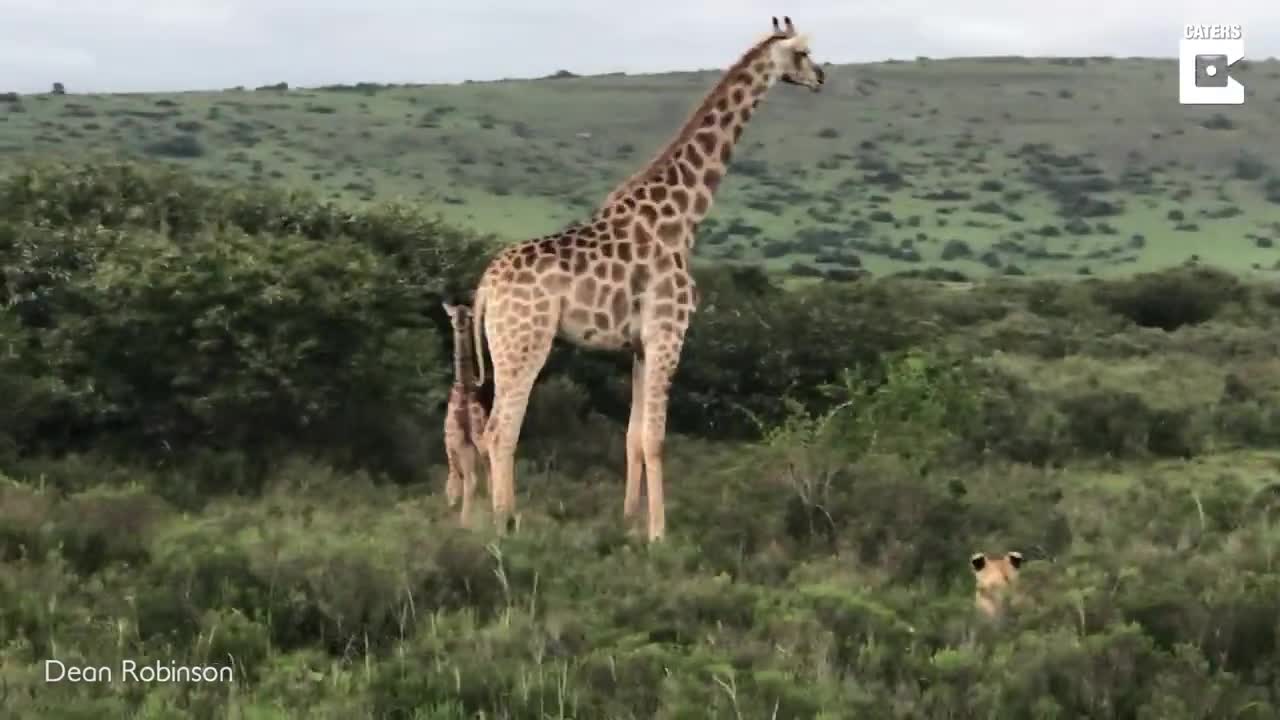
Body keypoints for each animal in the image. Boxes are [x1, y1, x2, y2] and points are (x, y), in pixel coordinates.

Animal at [476, 15, 824, 538]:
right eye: (802, 52)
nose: (821, 77)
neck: (683, 218)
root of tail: (484, 288)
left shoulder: (640, 344)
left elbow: (633, 437)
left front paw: (628, 524)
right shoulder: (668, 331)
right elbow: (658, 439)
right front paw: (660, 535)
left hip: (504, 345)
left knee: (487, 431)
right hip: (525, 342)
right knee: (501, 431)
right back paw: (504, 526)